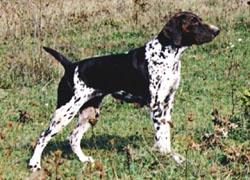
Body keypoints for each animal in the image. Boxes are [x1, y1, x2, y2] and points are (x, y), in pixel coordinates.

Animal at [28, 11, 219, 171]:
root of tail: (70, 65)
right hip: (65, 111)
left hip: (89, 111)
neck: (166, 54)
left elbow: (166, 135)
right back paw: (34, 164)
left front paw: (173, 157)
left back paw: (84, 160)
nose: (217, 30)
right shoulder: (156, 106)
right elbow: (160, 136)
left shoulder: (167, 103)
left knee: (73, 137)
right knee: (43, 136)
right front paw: (166, 157)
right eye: (193, 21)